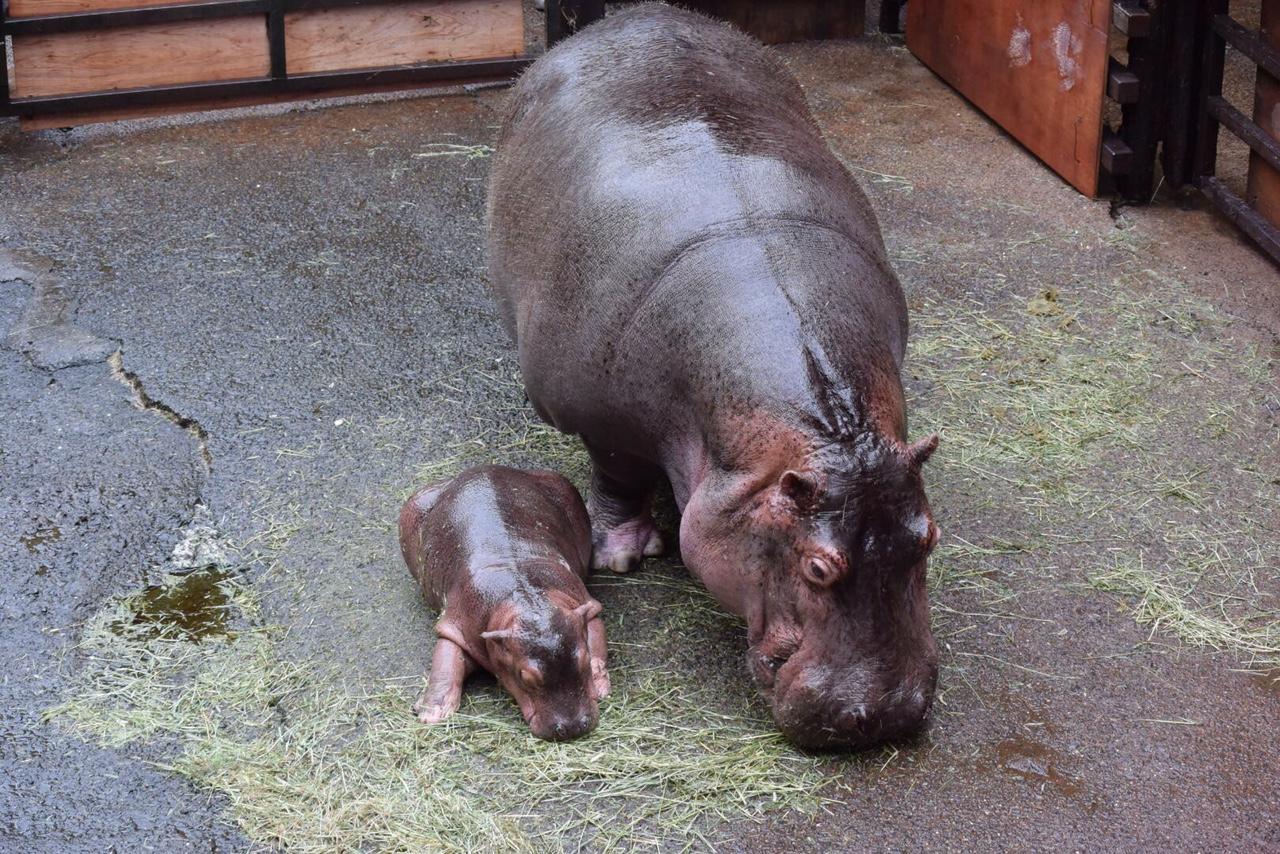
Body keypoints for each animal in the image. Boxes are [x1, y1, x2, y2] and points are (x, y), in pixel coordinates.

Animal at [399, 463, 609, 737]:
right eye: (524, 676)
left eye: (583, 661)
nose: (573, 728)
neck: (525, 599)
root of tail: (481, 468)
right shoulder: (456, 625)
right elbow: (444, 664)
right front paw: (430, 715)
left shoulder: (584, 605)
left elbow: (595, 633)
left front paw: (601, 684)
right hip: (413, 504)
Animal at [486, 3, 942, 747]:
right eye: (817, 567)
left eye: (927, 539)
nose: (882, 715)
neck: (827, 438)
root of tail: (637, 16)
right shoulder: (600, 424)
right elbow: (615, 475)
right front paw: (621, 555)